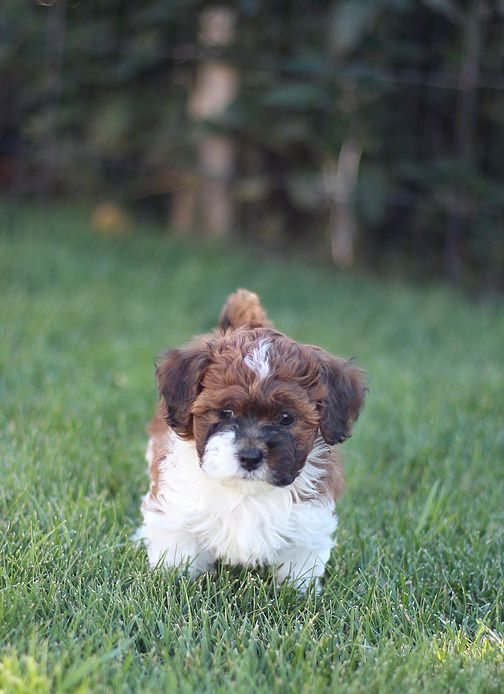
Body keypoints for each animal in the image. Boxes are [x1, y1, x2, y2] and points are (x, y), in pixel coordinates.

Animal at [137, 290, 366, 588]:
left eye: (286, 418)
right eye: (225, 412)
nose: (250, 457)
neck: (246, 493)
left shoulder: (309, 523)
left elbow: (299, 568)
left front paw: (298, 592)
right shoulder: (177, 510)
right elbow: (177, 553)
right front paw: (172, 581)